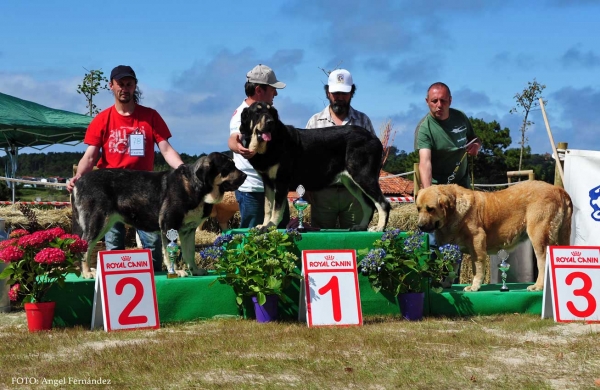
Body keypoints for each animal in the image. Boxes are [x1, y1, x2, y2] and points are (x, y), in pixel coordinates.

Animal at [72, 152, 246, 278]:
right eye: (229, 167)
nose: (245, 175)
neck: (195, 186)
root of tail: (78, 182)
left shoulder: (188, 231)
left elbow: (189, 253)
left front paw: (195, 270)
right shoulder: (169, 226)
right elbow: (169, 253)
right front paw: (175, 271)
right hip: (97, 222)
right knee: (85, 248)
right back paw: (87, 272)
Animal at [241, 101, 392, 232]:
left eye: (271, 112)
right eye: (257, 112)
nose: (270, 122)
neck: (269, 145)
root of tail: (374, 138)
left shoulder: (281, 181)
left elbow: (276, 209)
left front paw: (271, 225)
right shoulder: (268, 182)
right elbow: (267, 207)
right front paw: (264, 225)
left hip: (363, 176)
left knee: (383, 203)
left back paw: (379, 228)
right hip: (352, 182)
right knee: (369, 205)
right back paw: (361, 226)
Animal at [418, 181, 572, 290]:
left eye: (430, 209)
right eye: (418, 209)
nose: (419, 226)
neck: (454, 208)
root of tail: (559, 189)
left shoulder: (477, 240)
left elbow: (477, 266)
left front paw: (474, 286)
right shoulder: (455, 248)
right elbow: (453, 267)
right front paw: (446, 283)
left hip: (538, 236)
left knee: (543, 262)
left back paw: (538, 286)